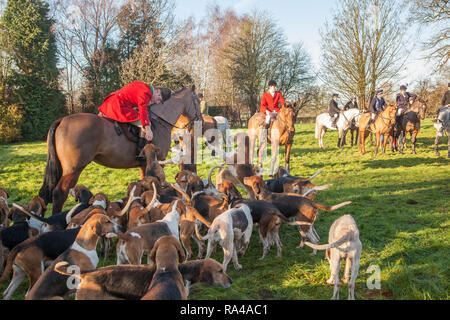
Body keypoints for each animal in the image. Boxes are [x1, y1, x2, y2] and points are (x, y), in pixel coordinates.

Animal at [39, 86, 202, 214]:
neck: (159, 121)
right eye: (198, 102)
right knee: (59, 193)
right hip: (73, 170)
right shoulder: (159, 160)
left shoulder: (144, 164)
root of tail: (61, 120)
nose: (199, 119)